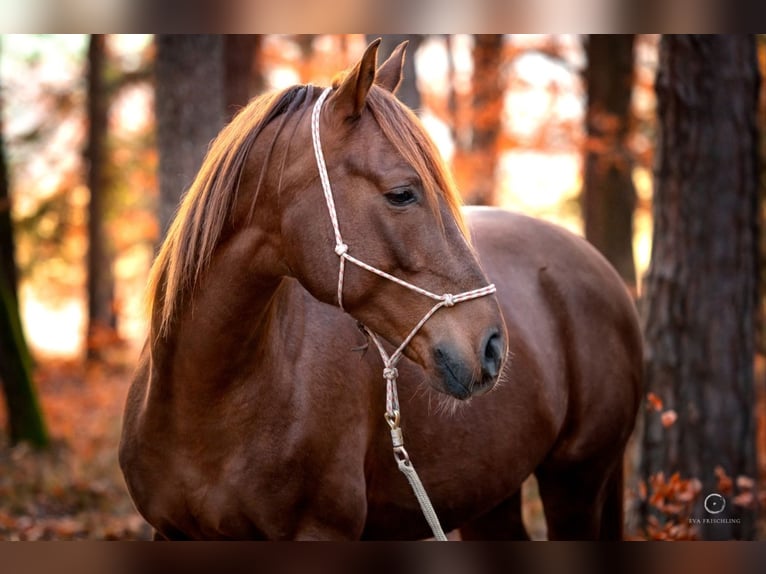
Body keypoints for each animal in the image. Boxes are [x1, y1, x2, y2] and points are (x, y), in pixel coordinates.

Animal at [119, 39, 642, 540]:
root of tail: (598, 264)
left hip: (576, 482)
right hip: (493, 496)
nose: (492, 346)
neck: (206, 403)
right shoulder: (170, 532)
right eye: (402, 193)